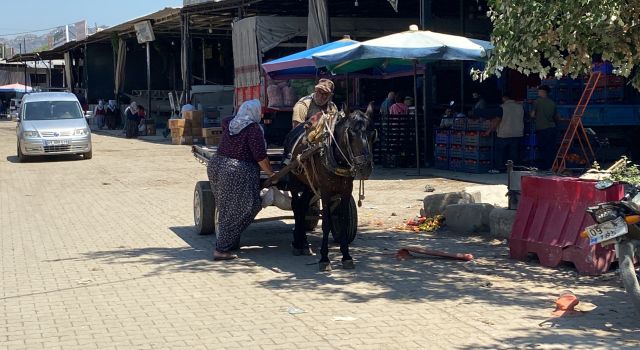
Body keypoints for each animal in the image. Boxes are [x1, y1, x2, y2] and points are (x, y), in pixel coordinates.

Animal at [284, 108, 376, 272]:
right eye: (350, 134)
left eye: (372, 133)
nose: (365, 168)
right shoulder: (326, 191)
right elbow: (326, 223)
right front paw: (324, 258)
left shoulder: (346, 190)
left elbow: (343, 219)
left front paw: (346, 256)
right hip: (294, 181)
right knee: (296, 207)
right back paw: (297, 244)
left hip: (310, 185)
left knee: (302, 207)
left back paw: (304, 244)